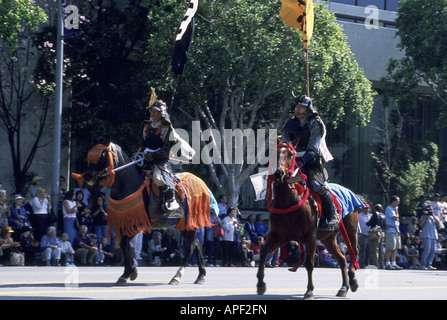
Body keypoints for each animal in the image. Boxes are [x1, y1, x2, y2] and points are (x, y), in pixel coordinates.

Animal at [75, 141, 215, 286]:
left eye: (102, 157)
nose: (87, 176)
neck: (129, 185)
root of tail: (202, 184)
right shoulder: (125, 223)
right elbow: (124, 245)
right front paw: (128, 272)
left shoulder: (137, 224)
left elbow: (124, 243)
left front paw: (130, 271)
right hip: (185, 225)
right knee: (196, 244)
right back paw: (201, 275)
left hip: (188, 223)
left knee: (190, 247)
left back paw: (177, 276)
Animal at [258, 143, 362, 300]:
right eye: (275, 153)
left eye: (290, 154)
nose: (278, 173)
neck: (289, 201)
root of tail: (351, 193)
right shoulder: (279, 236)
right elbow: (264, 252)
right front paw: (260, 284)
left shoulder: (310, 237)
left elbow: (309, 263)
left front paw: (309, 291)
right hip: (328, 238)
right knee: (342, 258)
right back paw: (344, 287)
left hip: (351, 230)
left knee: (354, 252)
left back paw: (353, 280)